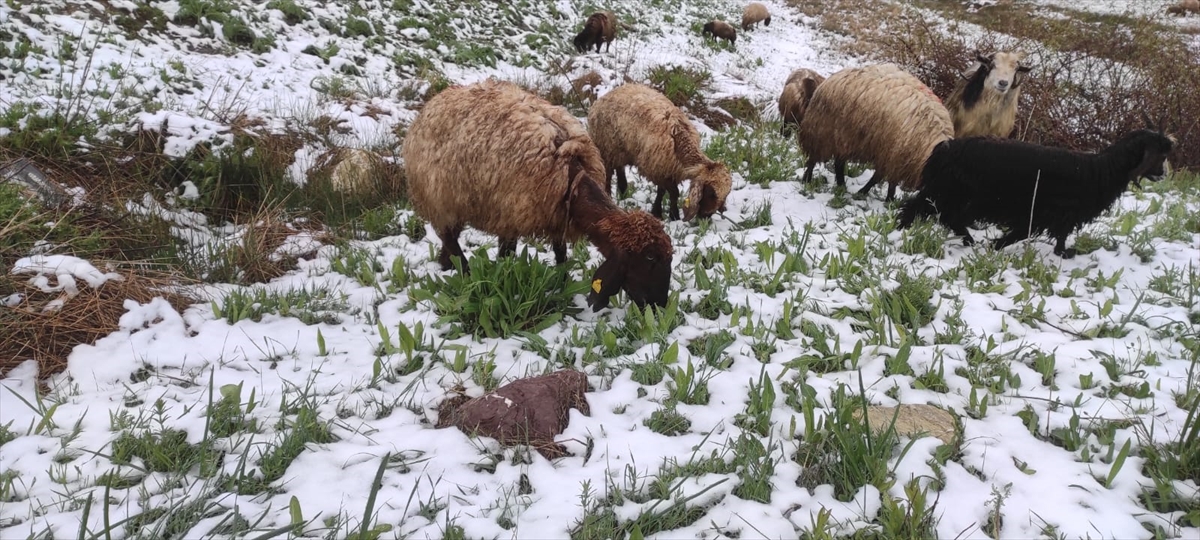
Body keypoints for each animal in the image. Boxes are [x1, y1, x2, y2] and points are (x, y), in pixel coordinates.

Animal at [403, 78, 681, 309]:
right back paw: (465, 274)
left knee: (449, 237)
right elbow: (507, 257)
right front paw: (501, 282)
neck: (569, 176)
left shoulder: (556, 215)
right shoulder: (510, 216)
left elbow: (560, 254)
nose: (659, 305)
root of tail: (434, 101)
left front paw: (563, 281)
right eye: (649, 259)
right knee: (451, 240)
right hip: (439, 199)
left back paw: (445, 264)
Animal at [588, 82, 734, 222]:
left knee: (619, 168)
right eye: (711, 193)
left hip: (621, 149)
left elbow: (661, 192)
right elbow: (674, 193)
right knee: (608, 173)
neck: (678, 140)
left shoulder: (664, 169)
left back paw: (623, 191)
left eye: (725, 195)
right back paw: (608, 195)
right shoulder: (657, 169)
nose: (706, 217)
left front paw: (657, 212)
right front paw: (673, 216)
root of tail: (607, 94)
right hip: (606, 146)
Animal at [796, 61, 955, 200]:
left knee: (838, 163)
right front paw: (885, 199)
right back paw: (807, 180)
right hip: (823, 131)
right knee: (815, 158)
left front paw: (877, 196)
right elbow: (885, 180)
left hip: (844, 136)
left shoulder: (891, 155)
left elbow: (881, 178)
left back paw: (841, 185)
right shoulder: (893, 154)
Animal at [897, 123, 1176, 258]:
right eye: (1160, 155)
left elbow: (1058, 235)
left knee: (942, 215)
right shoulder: (1041, 211)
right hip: (954, 192)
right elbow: (1024, 232)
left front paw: (1062, 252)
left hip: (951, 192)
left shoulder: (1059, 215)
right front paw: (998, 245)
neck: (1101, 170)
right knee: (925, 210)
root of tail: (946, 148)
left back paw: (965, 239)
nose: (1163, 174)